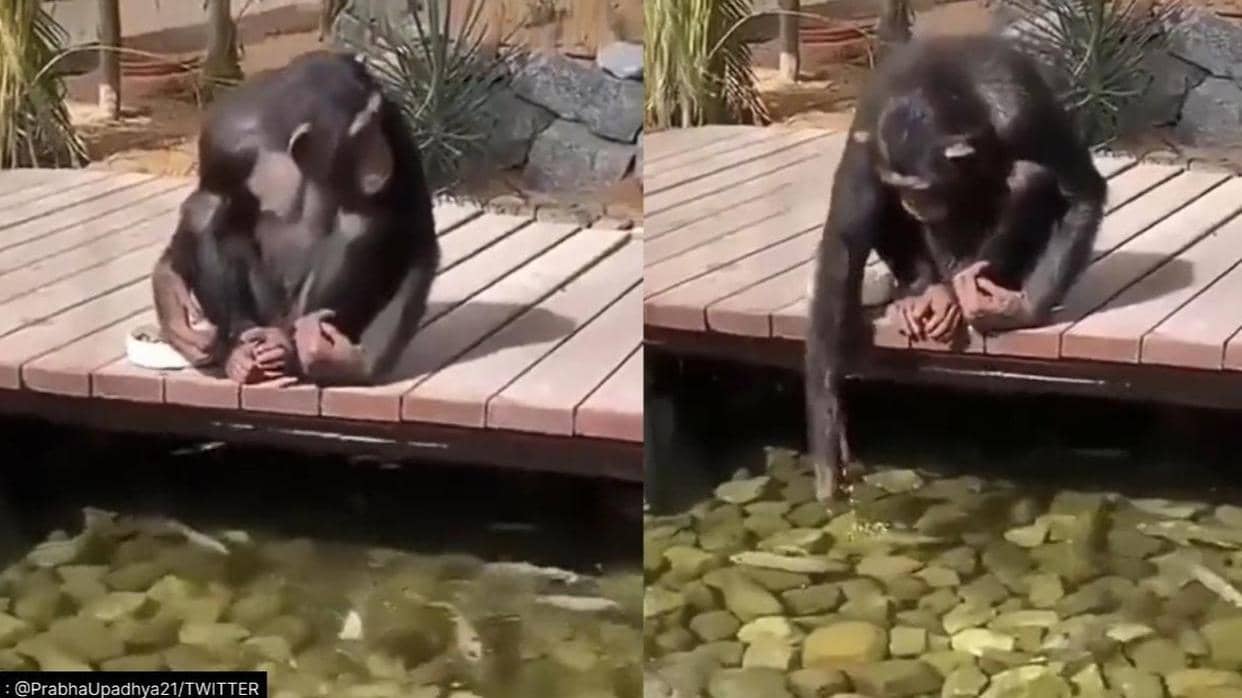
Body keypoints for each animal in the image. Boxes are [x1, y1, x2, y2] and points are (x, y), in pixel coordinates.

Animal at [151, 50, 439, 386]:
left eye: (375, 122)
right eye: (360, 134)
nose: (379, 152)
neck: (281, 137)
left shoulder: (394, 121)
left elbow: (416, 228)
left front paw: (349, 362)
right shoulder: (220, 136)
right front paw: (173, 306)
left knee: (363, 220)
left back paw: (295, 346)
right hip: (268, 312)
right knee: (208, 208)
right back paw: (241, 350)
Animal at [804, 34, 1107, 501]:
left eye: (923, 186)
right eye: (902, 185)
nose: (911, 199)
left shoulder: (1027, 112)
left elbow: (1080, 191)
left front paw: (1023, 309)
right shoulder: (869, 133)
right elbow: (845, 238)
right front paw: (827, 435)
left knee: (1030, 177)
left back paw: (968, 288)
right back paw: (924, 291)